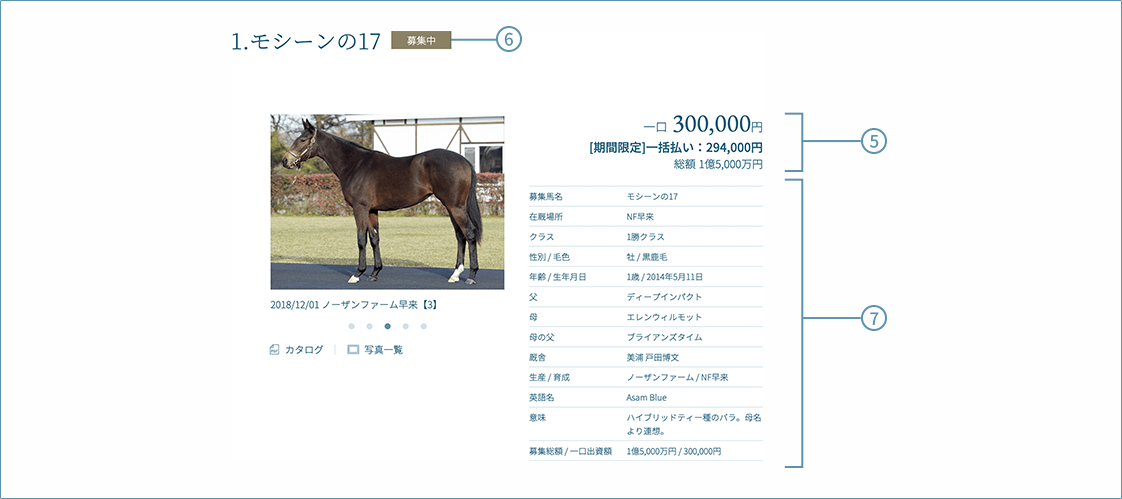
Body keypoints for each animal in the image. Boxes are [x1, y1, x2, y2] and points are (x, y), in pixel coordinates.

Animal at [280, 119, 482, 284]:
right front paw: (374, 272)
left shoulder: (360, 209)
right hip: (452, 207)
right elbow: (374, 238)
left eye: (303, 140)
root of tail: (464, 161)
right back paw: (455, 274)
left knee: (469, 233)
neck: (355, 164)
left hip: (455, 207)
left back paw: (472, 276)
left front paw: (358, 273)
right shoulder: (372, 210)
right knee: (460, 236)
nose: (285, 160)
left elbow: (361, 239)